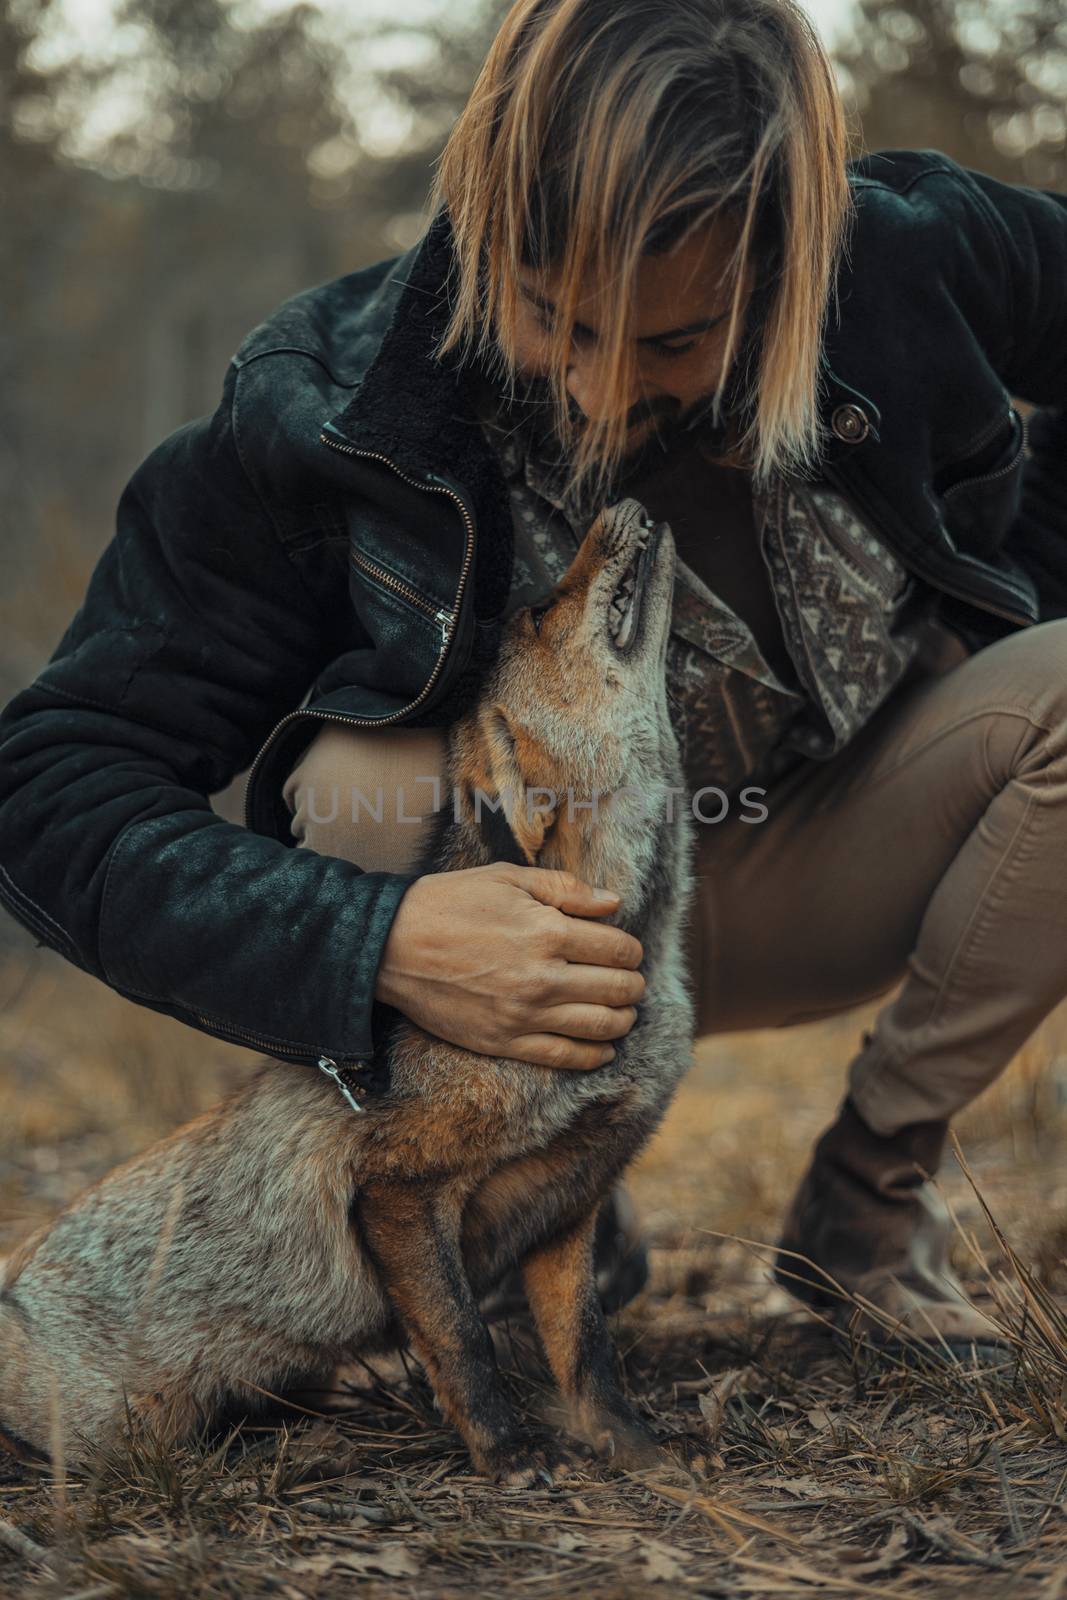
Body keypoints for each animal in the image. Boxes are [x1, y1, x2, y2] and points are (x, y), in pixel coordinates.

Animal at [0, 492, 697, 1478]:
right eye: (535, 611)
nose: (622, 501)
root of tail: (14, 1278)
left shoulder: (570, 1202)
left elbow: (585, 1351)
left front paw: (633, 1451)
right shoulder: (395, 1189)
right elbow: (462, 1343)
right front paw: (507, 1456)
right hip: (116, 1424)